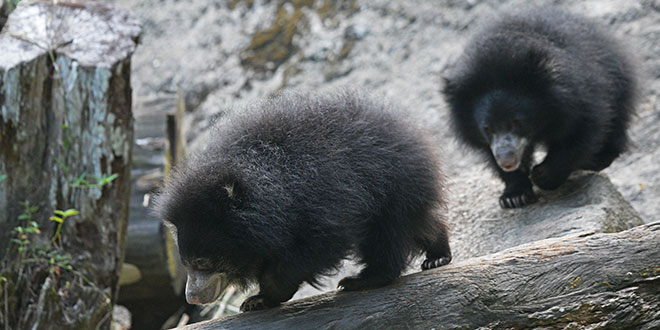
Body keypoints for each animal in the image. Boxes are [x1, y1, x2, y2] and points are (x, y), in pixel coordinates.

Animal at [157, 91, 452, 312]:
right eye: (185, 262)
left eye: (203, 262)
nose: (192, 297)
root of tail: (413, 132)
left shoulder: (322, 201)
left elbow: (316, 246)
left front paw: (261, 297)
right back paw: (437, 256)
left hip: (390, 185)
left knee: (386, 235)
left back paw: (363, 279)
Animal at [440, 9, 636, 208]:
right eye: (487, 128)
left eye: (518, 123)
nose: (507, 161)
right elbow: (489, 151)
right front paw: (514, 196)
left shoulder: (579, 99)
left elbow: (581, 133)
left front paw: (543, 175)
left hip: (618, 85)